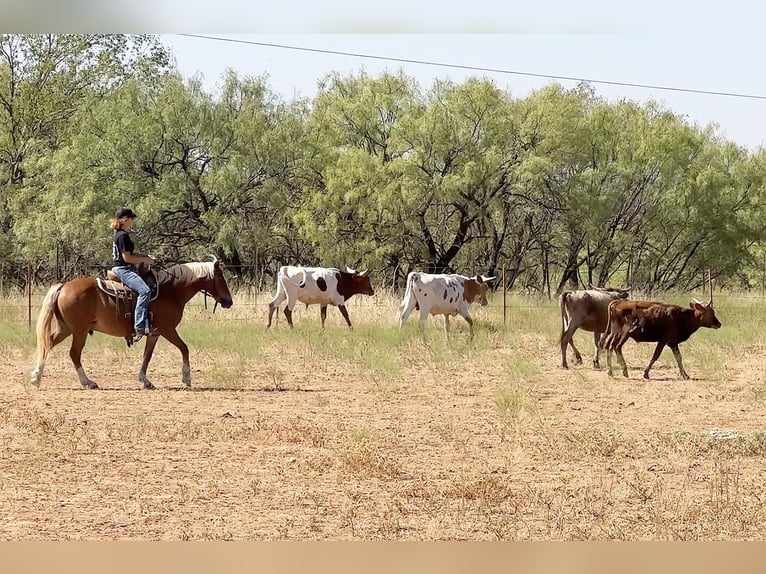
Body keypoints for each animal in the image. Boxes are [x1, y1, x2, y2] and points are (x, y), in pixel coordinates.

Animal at [30, 260, 234, 392]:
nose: (229, 301)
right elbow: (184, 348)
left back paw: (36, 378)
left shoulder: (154, 333)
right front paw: (187, 377)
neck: (171, 291)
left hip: (66, 328)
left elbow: (147, 356)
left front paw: (145, 381)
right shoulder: (167, 329)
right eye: (220, 277)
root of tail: (64, 286)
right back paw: (88, 382)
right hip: (79, 331)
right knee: (74, 353)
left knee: (48, 344)